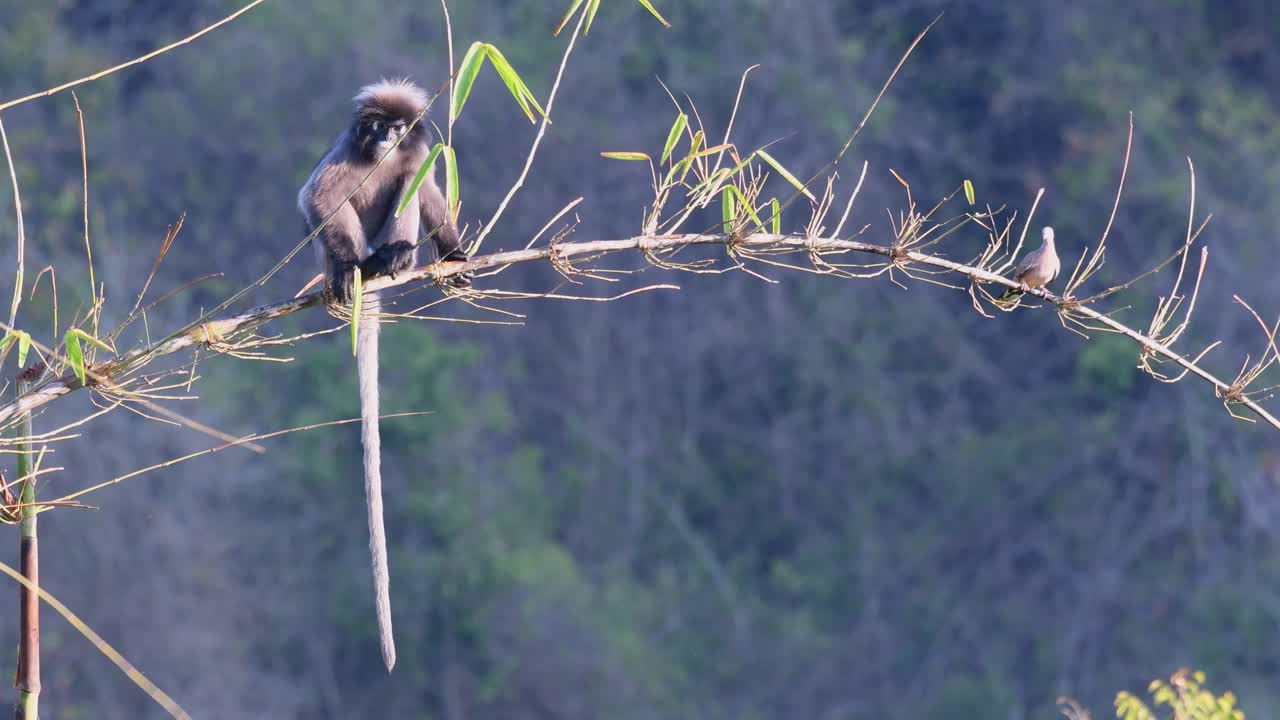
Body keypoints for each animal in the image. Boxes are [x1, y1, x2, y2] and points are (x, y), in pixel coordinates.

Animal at [296, 78, 469, 672]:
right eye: (375, 126)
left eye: (397, 128)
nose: (385, 137)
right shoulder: (343, 157)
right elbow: (317, 199)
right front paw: (348, 266)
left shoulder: (416, 157)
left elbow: (429, 193)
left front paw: (454, 253)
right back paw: (354, 272)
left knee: (406, 198)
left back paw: (393, 258)